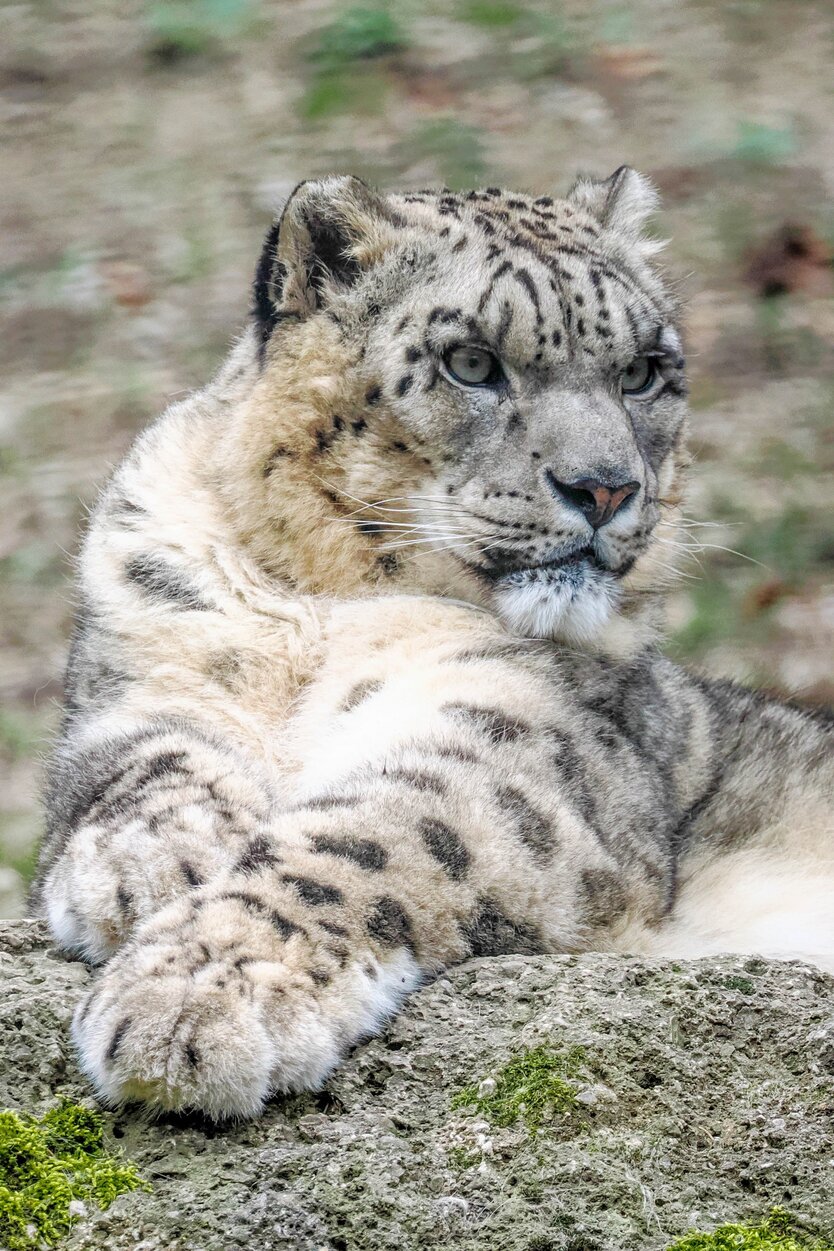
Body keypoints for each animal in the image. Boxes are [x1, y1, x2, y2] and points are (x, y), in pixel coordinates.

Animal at [34, 168, 834, 1125]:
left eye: (643, 372)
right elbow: (143, 761)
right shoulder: (143, 669)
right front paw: (147, 868)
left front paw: (195, 996)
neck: (321, 606)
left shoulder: (515, 745)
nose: (604, 487)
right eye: (473, 362)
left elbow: (364, 840)